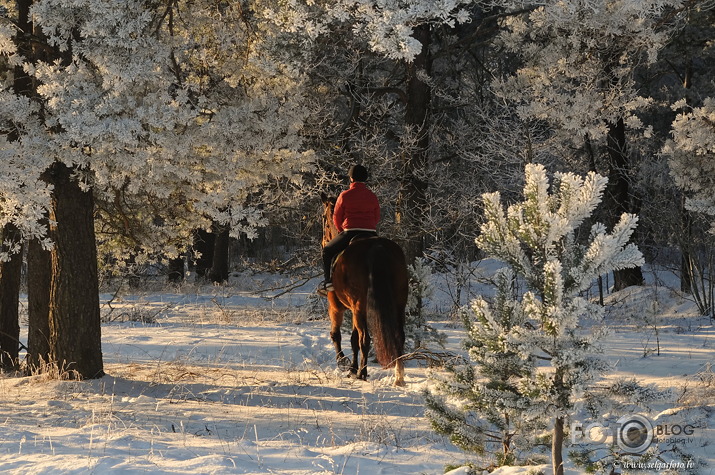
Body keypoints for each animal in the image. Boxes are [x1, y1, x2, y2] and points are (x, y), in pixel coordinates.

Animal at [320, 192, 408, 386]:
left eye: (323, 219)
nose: (323, 242)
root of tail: (377, 247)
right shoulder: (354, 309)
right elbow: (353, 339)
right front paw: (352, 368)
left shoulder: (336, 306)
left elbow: (336, 334)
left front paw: (344, 363)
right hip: (398, 304)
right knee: (398, 336)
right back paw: (398, 376)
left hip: (359, 307)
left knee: (365, 339)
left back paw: (363, 372)